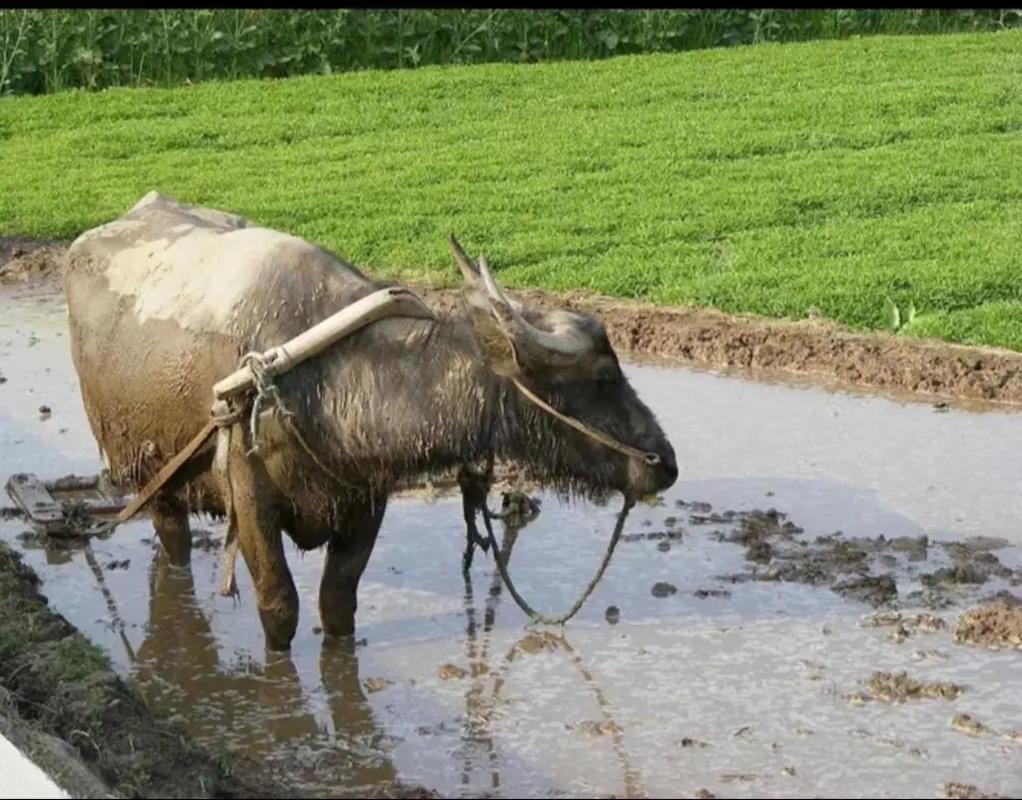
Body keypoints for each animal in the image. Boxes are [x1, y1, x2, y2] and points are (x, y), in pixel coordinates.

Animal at [61, 192, 670, 649]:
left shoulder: (365, 500)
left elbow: (338, 604)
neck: (330, 382)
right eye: (601, 377)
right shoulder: (250, 500)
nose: (664, 463)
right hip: (149, 473)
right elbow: (280, 606)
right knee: (174, 546)